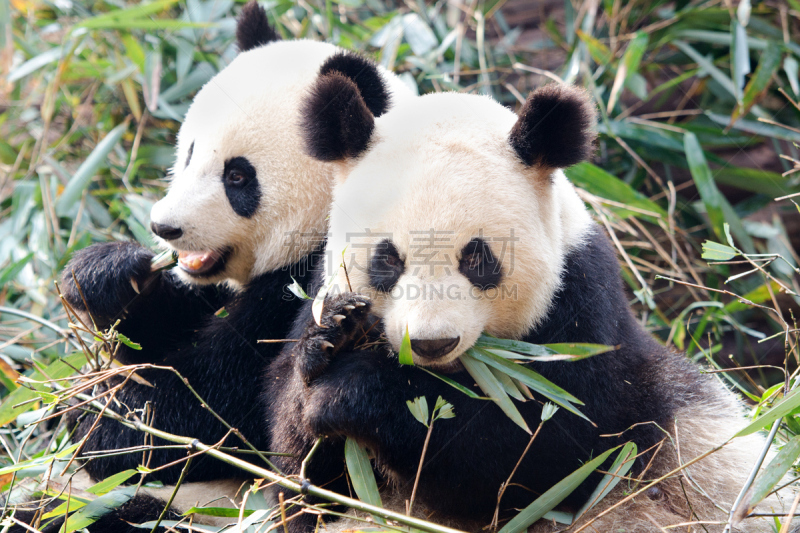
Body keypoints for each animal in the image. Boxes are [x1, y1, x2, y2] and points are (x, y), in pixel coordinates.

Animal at [7, 2, 412, 528]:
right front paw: (106, 276)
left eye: (237, 176)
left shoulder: (317, 281)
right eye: (189, 153)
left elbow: (218, 405)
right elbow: (162, 332)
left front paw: (95, 420)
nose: (164, 227)